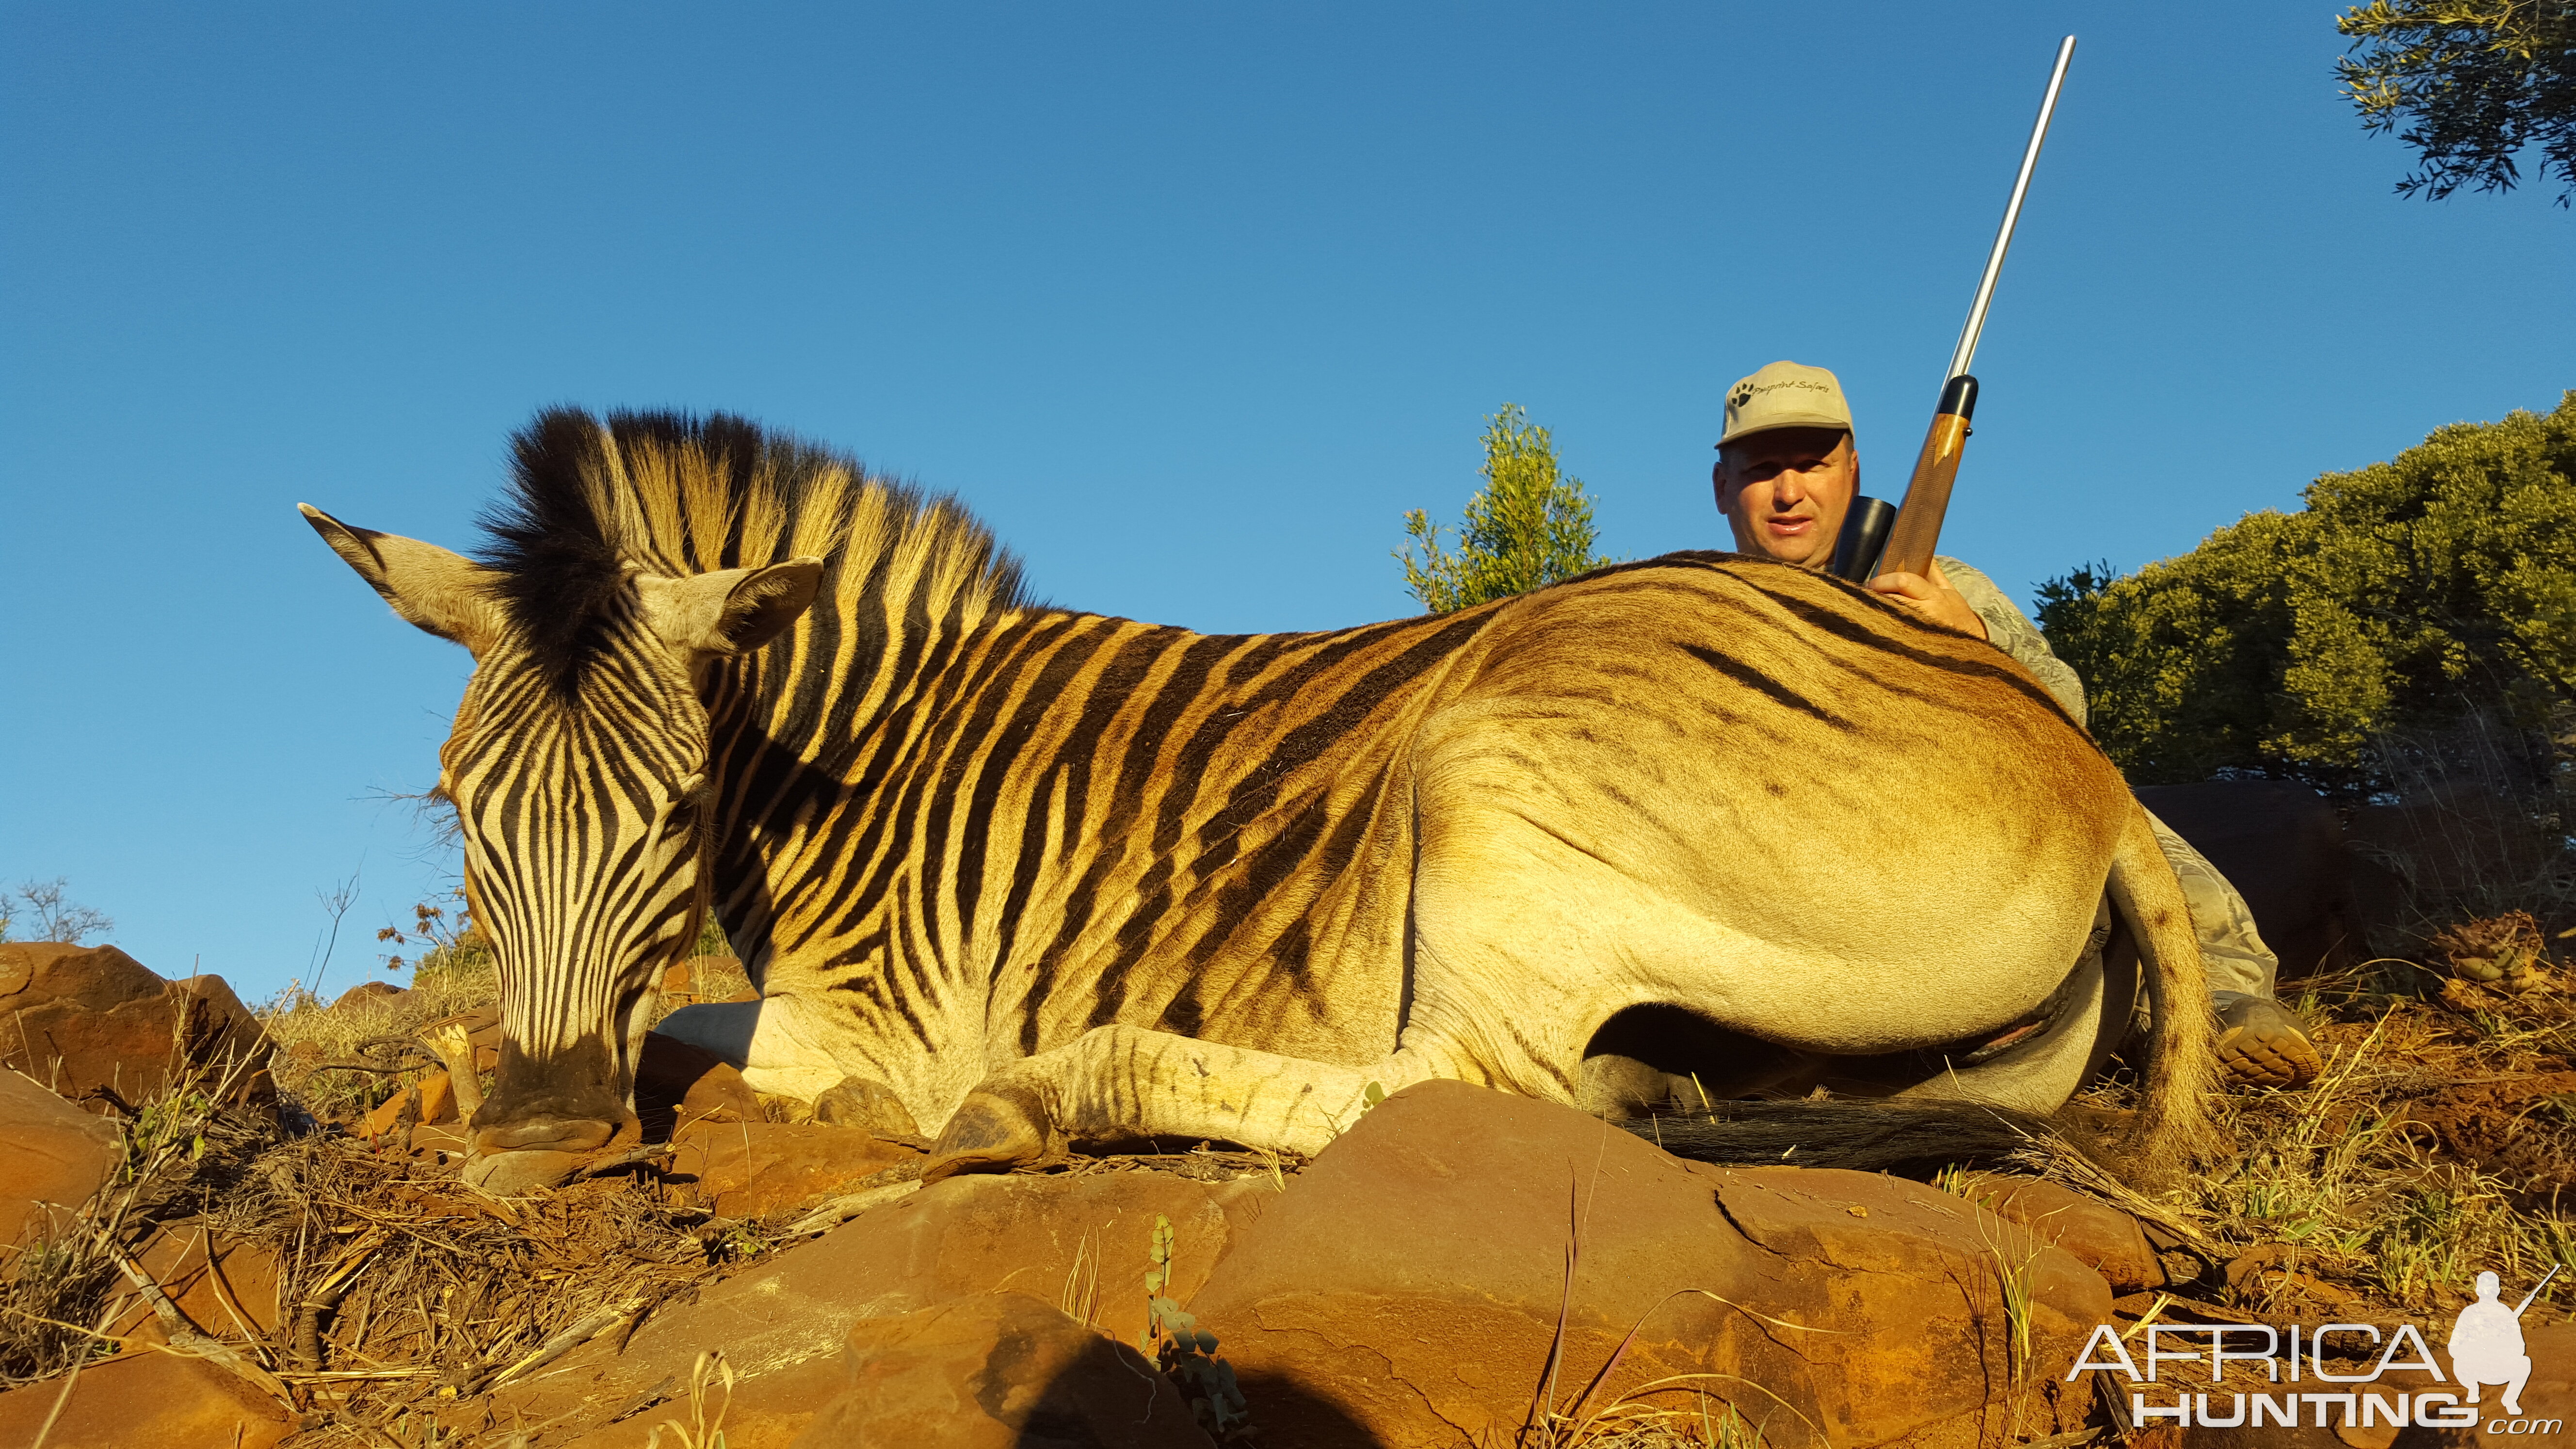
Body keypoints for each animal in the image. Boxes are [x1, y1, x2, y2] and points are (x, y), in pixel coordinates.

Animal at [301, 407, 2215, 1186]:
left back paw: (1036, 1100)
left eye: (670, 803)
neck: (869, 747)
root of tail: (2089, 768)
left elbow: (690, 1039)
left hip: (1483, 774)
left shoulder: (876, 1025)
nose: (540, 1133)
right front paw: (431, 1091)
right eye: (460, 805)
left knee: (1469, 1095)